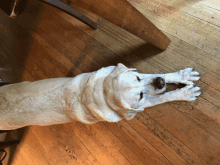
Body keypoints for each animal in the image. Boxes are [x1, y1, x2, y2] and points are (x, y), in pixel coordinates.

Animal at [0, 63, 201, 130]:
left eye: (137, 77)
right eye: (140, 95)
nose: (160, 83)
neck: (100, 92)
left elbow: (159, 74)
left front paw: (182, 76)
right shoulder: (139, 104)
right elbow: (160, 98)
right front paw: (184, 92)